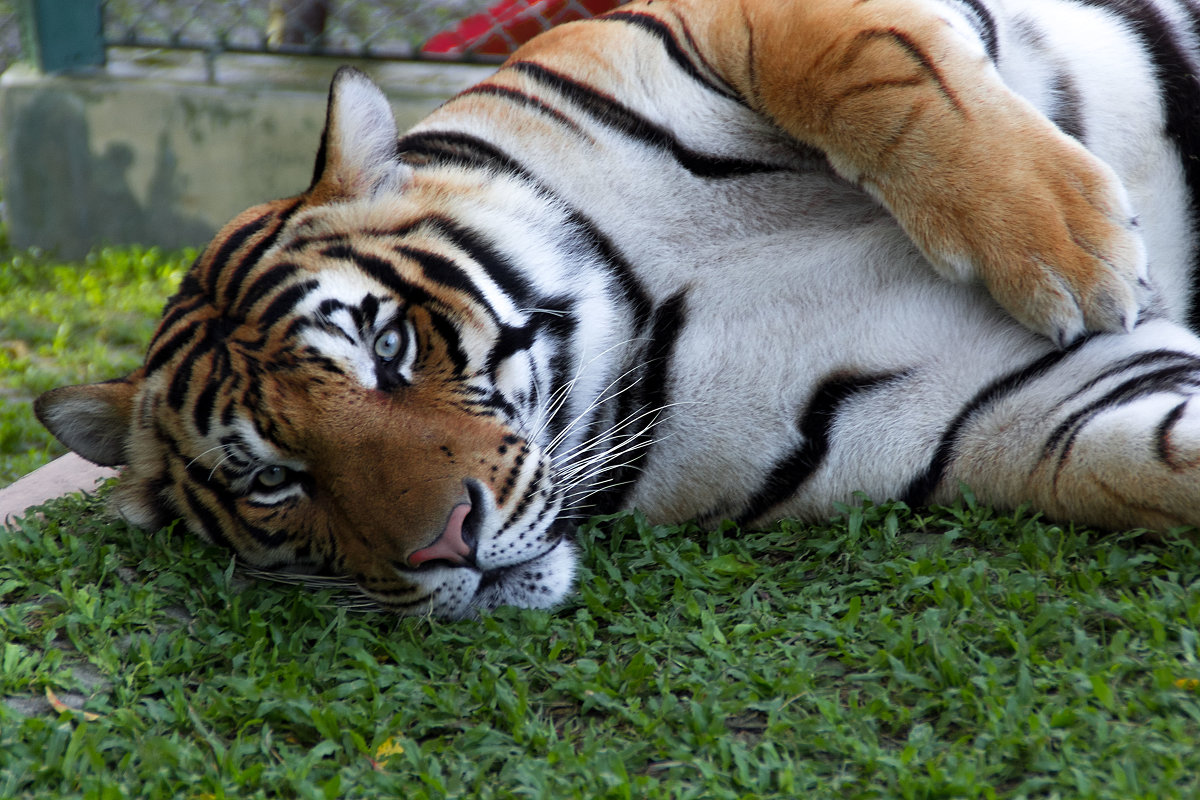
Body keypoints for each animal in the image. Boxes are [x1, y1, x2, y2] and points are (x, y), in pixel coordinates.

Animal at [25, 0, 1200, 618]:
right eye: (272, 480)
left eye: (387, 348)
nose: (447, 546)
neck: (640, 311)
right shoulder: (1002, 407)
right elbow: (1147, 457)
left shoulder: (712, 21)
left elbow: (861, 58)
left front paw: (1069, 246)